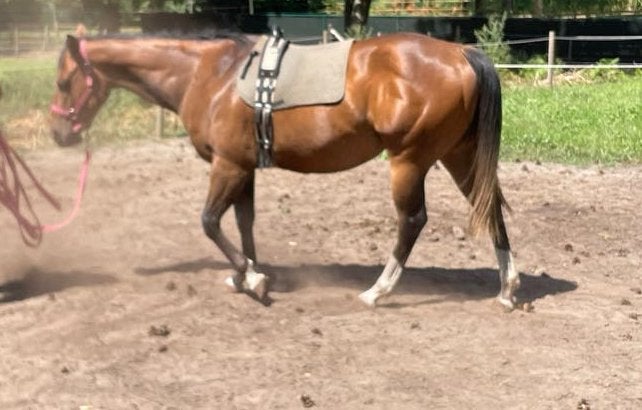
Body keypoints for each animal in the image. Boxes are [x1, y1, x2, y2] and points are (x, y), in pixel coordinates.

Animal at [49, 26, 520, 309]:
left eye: (62, 81)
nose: (57, 134)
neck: (211, 75)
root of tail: (461, 53)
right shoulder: (244, 168)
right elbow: (244, 222)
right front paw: (249, 274)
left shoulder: (227, 166)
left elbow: (209, 222)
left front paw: (251, 279)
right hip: (458, 156)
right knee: (491, 208)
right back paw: (508, 288)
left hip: (408, 160)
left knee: (413, 221)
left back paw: (378, 291)